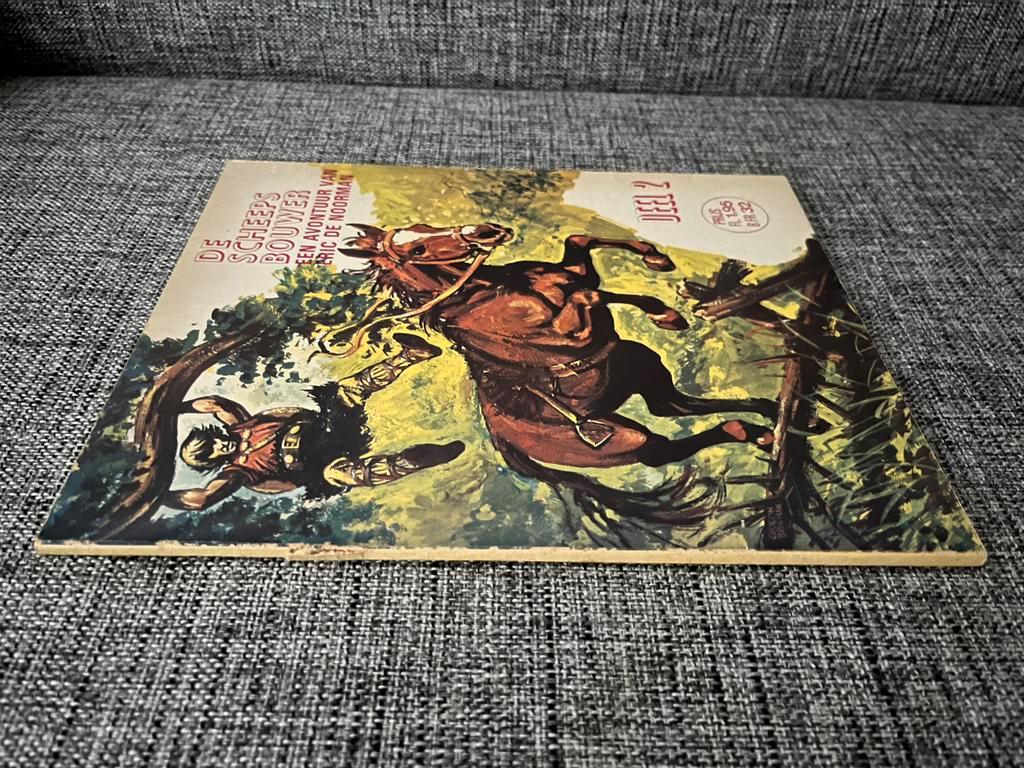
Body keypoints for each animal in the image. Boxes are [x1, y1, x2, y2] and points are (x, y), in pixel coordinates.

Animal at [332, 221, 778, 522]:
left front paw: (657, 261)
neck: (486, 295)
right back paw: (752, 430)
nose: (486, 230)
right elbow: (589, 293)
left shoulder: (577, 284)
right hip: (624, 438)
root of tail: (505, 443)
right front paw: (664, 311)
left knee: (671, 405)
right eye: (420, 248)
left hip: (636, 363)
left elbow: (579, 246)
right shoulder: (574, 329)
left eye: (423, 230)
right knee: (662, 444)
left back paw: (766, 415)